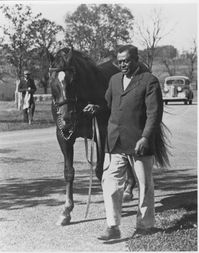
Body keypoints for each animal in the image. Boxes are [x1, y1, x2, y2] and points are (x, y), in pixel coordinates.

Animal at [48, 47, 135, 225]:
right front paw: (66, 211)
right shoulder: (64, 137)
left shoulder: (101, 134)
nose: (66, 118)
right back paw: (128, 190)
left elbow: (99, 170)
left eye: (73, 80)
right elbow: (69, 172)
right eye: (52, 82)